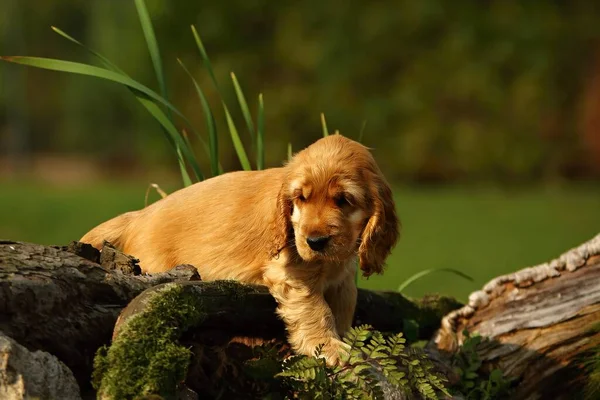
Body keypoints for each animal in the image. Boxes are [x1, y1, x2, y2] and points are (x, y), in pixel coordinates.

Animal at [78, 134, 398, 366]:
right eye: (301, 198)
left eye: (344, 200)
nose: (315, 242)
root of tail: (137, 216)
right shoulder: (290, 271)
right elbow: (316, 309)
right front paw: (330, 346)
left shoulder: (341, 278)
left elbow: (343, 305)